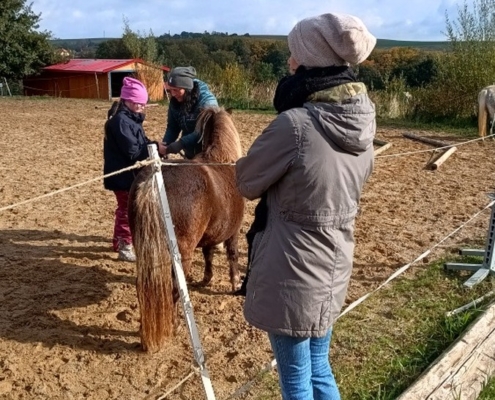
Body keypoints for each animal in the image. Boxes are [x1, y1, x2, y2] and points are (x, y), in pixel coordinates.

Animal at [128, 107, 244, 354]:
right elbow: (232, 256)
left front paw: (206, 279)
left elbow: (209, 255)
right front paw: (236, 283)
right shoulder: (233, 232)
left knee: (143, 288)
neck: (221, 160)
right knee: (173, 290)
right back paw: (173, 327)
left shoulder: (211, 236)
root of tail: (153, 181)